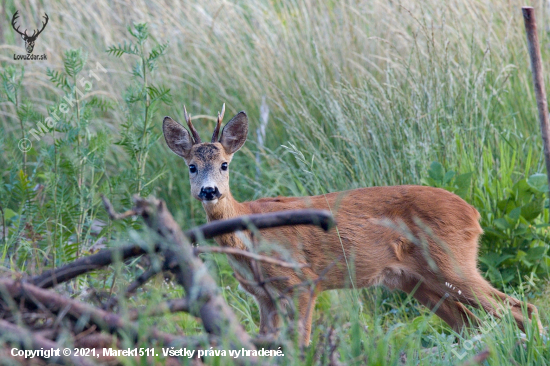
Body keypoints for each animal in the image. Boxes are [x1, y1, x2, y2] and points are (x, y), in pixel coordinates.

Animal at [162, 105, 544, 344]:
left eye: (224, 164)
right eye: (191, 166)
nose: (209, 191)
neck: (248, 241)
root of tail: (474, 215)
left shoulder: (302, 281)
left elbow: (301, 343)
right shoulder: (263, 296)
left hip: (452, 262)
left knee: (519, 307)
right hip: (416, 281)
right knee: (470, 324)